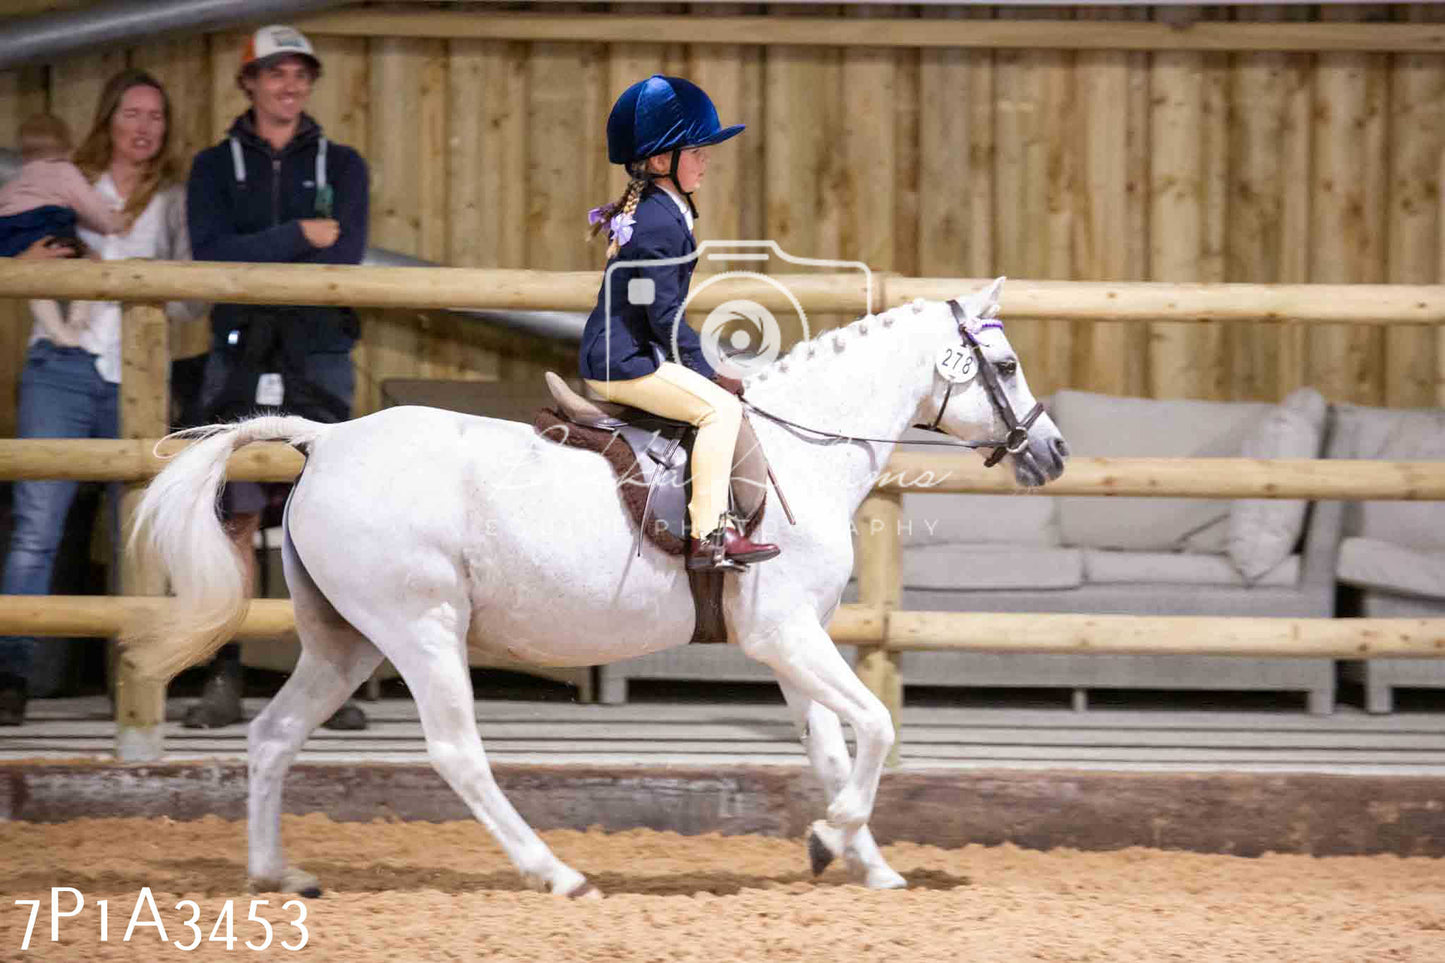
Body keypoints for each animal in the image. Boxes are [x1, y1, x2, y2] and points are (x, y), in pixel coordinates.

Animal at [124, 277, 1069, 890]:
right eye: (1007, 365)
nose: (1052, 451)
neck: (801, 447)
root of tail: (325, 441)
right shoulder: (786, 633)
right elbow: (874, 725)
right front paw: (832, 837)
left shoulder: (791, 641)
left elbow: (834, 748)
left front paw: (860, 861)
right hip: (421, 628)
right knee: (456, 751)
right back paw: (556, 871)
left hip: (343, 642)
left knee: (273, 736)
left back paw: (276, 872)